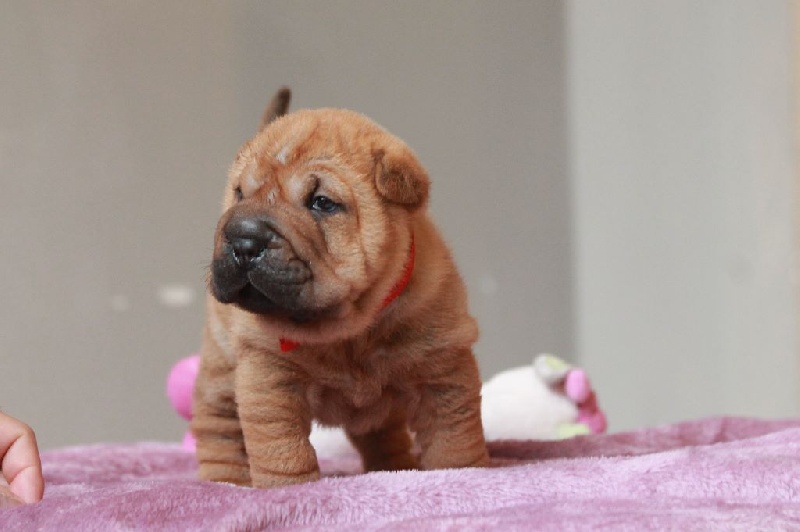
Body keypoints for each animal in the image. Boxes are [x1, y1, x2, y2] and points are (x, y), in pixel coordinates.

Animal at [192, 88, 489, 488]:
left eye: (321, 203)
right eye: (240, 194)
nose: (243, 240)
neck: (349, 329)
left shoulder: (441, 366)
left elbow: (453, 438)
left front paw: (464, 474)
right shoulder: (270, 377)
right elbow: (281, 447)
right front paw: (287, 488)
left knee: (383, 434)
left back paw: (395, 467)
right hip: (220, 369)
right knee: (218, 425)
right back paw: (223, 481)